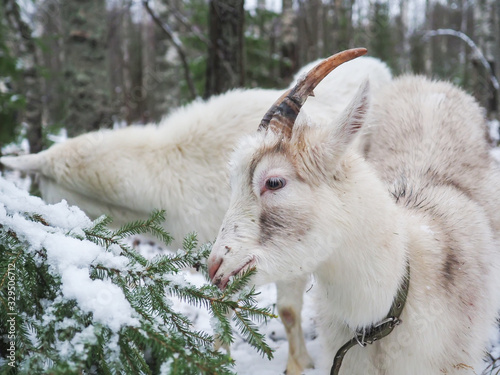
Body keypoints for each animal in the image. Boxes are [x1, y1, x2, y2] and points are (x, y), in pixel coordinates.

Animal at [0, 55, 390, 374]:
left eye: (45, 188)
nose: (49, 227)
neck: (171, 166)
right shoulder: (217, 256)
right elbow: (219, 310)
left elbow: (289, 311)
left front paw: (299, 364)